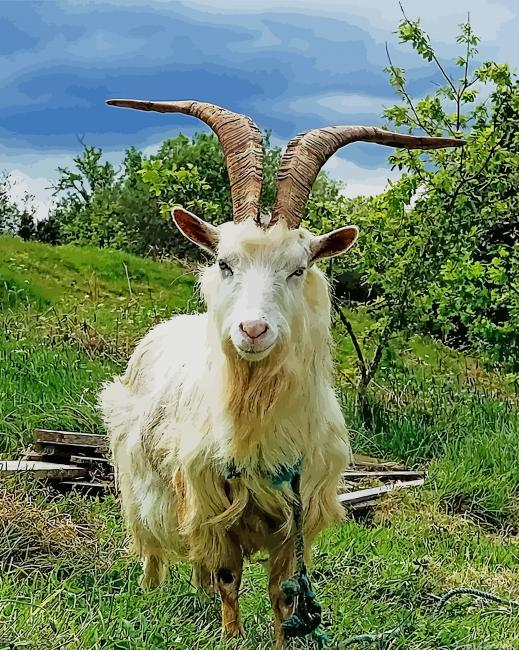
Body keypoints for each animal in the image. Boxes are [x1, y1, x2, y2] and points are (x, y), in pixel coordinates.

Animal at [100, 99, 463, 648]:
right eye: (223, 263)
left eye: (298, 268)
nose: (252, 329)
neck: (255, 413)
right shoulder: (212, 504)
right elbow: (228, 577)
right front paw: (230, 637)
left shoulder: (297, 514)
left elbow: (284, 594)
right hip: (138, 476)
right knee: (151, 544)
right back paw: (150, 593)